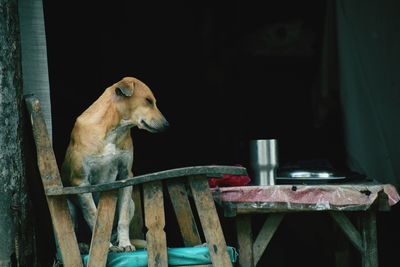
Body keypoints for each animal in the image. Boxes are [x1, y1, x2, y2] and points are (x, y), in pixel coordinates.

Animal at [61, 76, 169, 252]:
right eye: (148, 100)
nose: (167, 125)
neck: (112, 130)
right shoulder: (81, 182)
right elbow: (93, 215)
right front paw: (104, 246)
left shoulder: (126, 176)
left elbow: (122, 220)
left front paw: (125, 244)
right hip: (70, 209)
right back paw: (84, 246)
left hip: (131, 203)